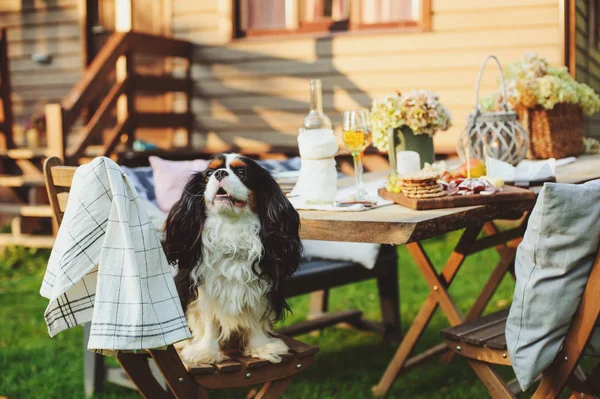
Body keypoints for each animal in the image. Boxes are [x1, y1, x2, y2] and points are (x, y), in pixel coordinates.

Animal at [163, 154, 300, 366]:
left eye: (241, 172)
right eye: (209, 173)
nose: (220, 173)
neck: (231, 229)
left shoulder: (260, 287)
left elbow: (255, 318)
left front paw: (261, 347)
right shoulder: (204, 288)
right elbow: (209, 322)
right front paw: (206, 351)